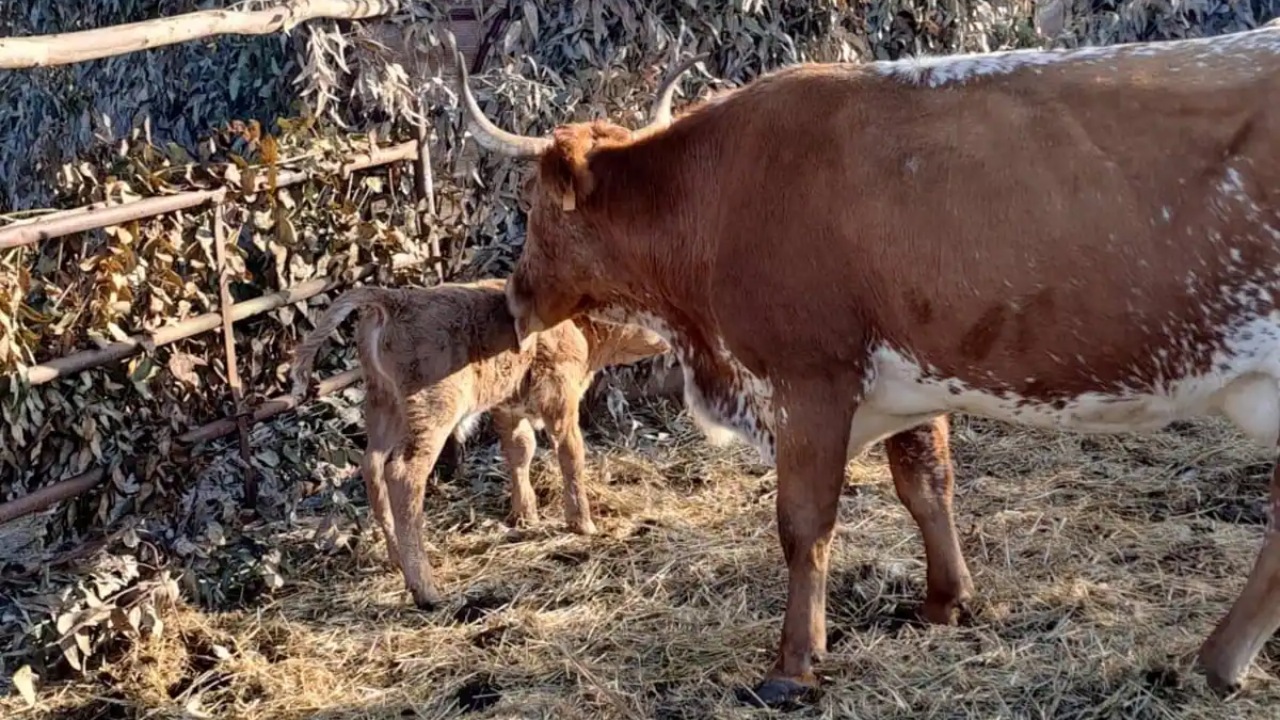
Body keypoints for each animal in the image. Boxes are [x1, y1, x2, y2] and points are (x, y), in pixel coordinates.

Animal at [290, 279, 670, 604]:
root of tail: (396, 299)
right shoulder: (560, 403)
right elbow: (571, 457)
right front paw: (583, 524)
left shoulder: (509, 407)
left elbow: (520, 451)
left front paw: (525, 515)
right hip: (431, 412)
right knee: (403, 474)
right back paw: (425, 588)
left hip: (384, 406)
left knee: (372, 466)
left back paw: (397, 558)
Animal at [442, 26, 1280, 702]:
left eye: (533, 204)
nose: (513, 298)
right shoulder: (909, 376)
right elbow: (925, 484)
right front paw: (946, 602)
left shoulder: (809, 379)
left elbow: (804, 523)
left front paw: (792, 665)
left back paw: (1216, 661)